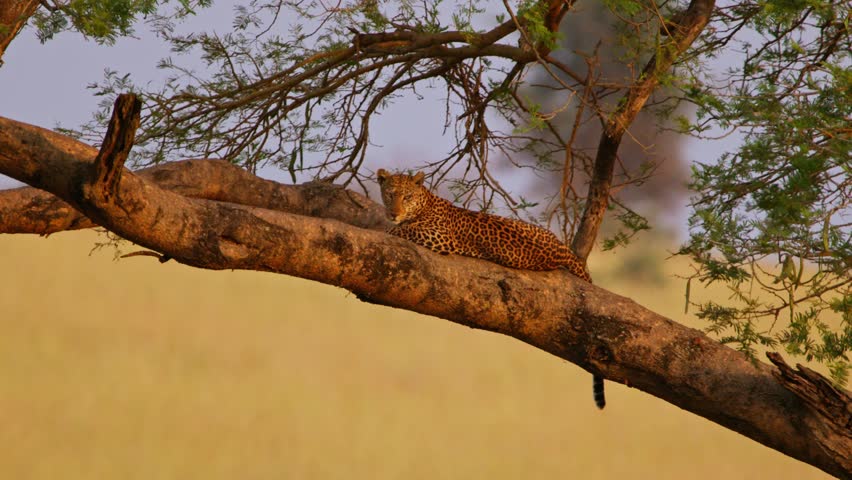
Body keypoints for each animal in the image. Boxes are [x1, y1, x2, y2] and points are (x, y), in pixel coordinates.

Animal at [377, 169, 606, 409]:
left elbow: (403, 230)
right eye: (390, 194)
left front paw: (388, 227)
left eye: (407, 197)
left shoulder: (438, 236)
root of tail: (561, 247)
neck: (425, 203)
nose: (393, 213)